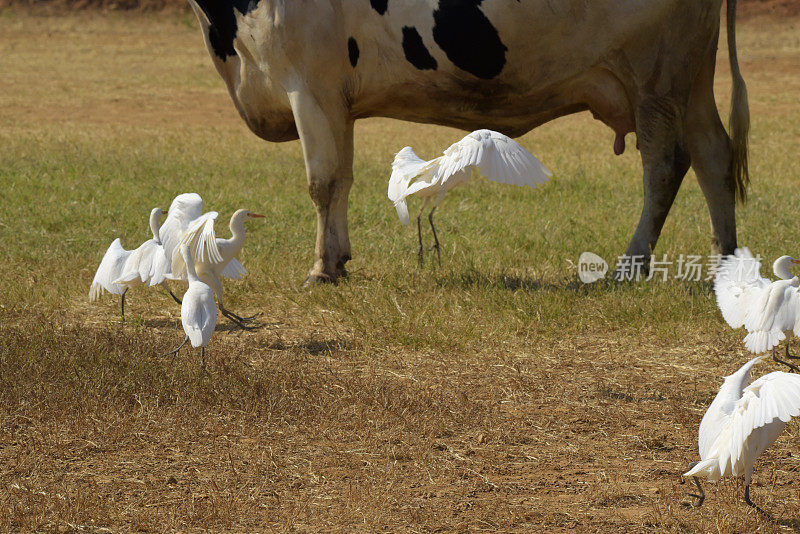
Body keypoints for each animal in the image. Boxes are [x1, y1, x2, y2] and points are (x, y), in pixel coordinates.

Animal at [186, 0, 752, 284]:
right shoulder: (335, 96)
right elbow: (342, 179)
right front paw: (339, 259)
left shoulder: (309, 81)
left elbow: (322, 182)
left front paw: (321, 270)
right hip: (690, 76)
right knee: (714, 155)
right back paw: (723, 264)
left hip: (657, 74)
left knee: (666, 163)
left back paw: (630, 268)